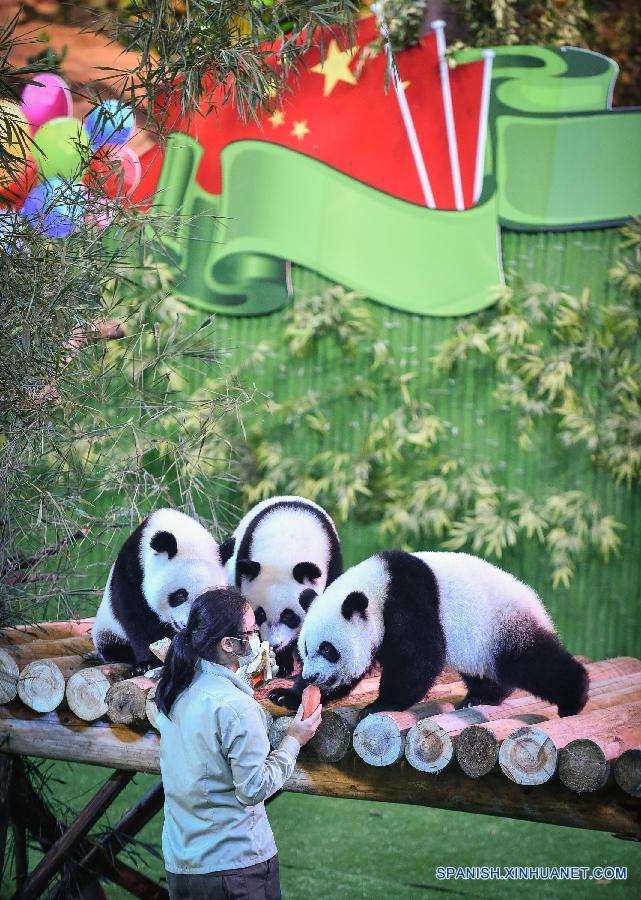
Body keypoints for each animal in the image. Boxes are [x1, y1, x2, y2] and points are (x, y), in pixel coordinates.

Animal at [93, 510, 228, 672]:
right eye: (180, 595)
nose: (188, 626)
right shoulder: (132, 572)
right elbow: (137, 619)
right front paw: (147, 664)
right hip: (107, 629)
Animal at [268, 544, 588, 720]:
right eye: (305, 650)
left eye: (327, 649)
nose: (312, 677)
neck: (375, 587)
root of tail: (535, 600)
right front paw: (287, 695)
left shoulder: (407, 600)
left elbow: (421, 657)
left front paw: (380, 705)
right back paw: (482, 696)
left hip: (502, 623)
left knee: (533, 661)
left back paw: (573, 697)